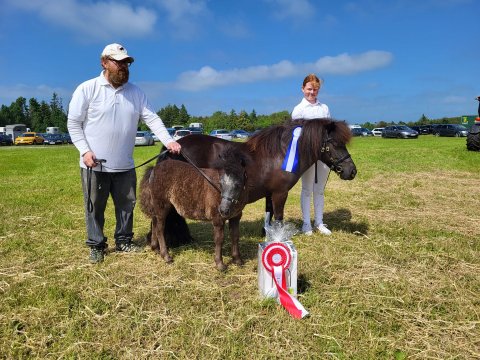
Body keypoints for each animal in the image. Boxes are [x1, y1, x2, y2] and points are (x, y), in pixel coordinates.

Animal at [161, 118, 356, 236]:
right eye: (336, 143)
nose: (351, 171)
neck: (279, 154)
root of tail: (173, 146)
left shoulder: (270, 193)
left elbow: (269, 214)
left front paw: (267, 234)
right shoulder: (280, 193)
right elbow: (278, 216)